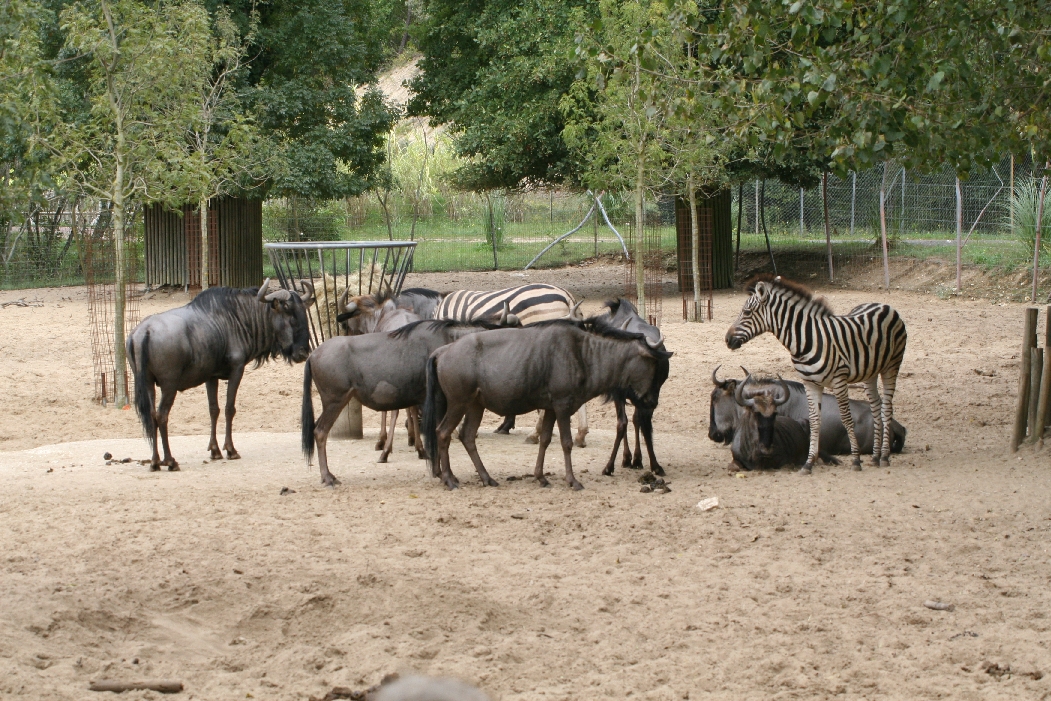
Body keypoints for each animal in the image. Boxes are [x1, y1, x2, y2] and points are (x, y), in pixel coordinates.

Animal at [725, 275, 907, 474]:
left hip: (891, 366)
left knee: (886, 407)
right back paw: (874, 457)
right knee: (875, 406)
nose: (727, 339)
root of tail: (882, 304)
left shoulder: (839, 380)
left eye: (747, 312)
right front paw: (809, 463)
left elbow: (847, 419)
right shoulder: (810, 382)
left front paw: (856, 460)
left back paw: (884, 457)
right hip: (870, 372)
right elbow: (814, 420)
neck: (806, 340)